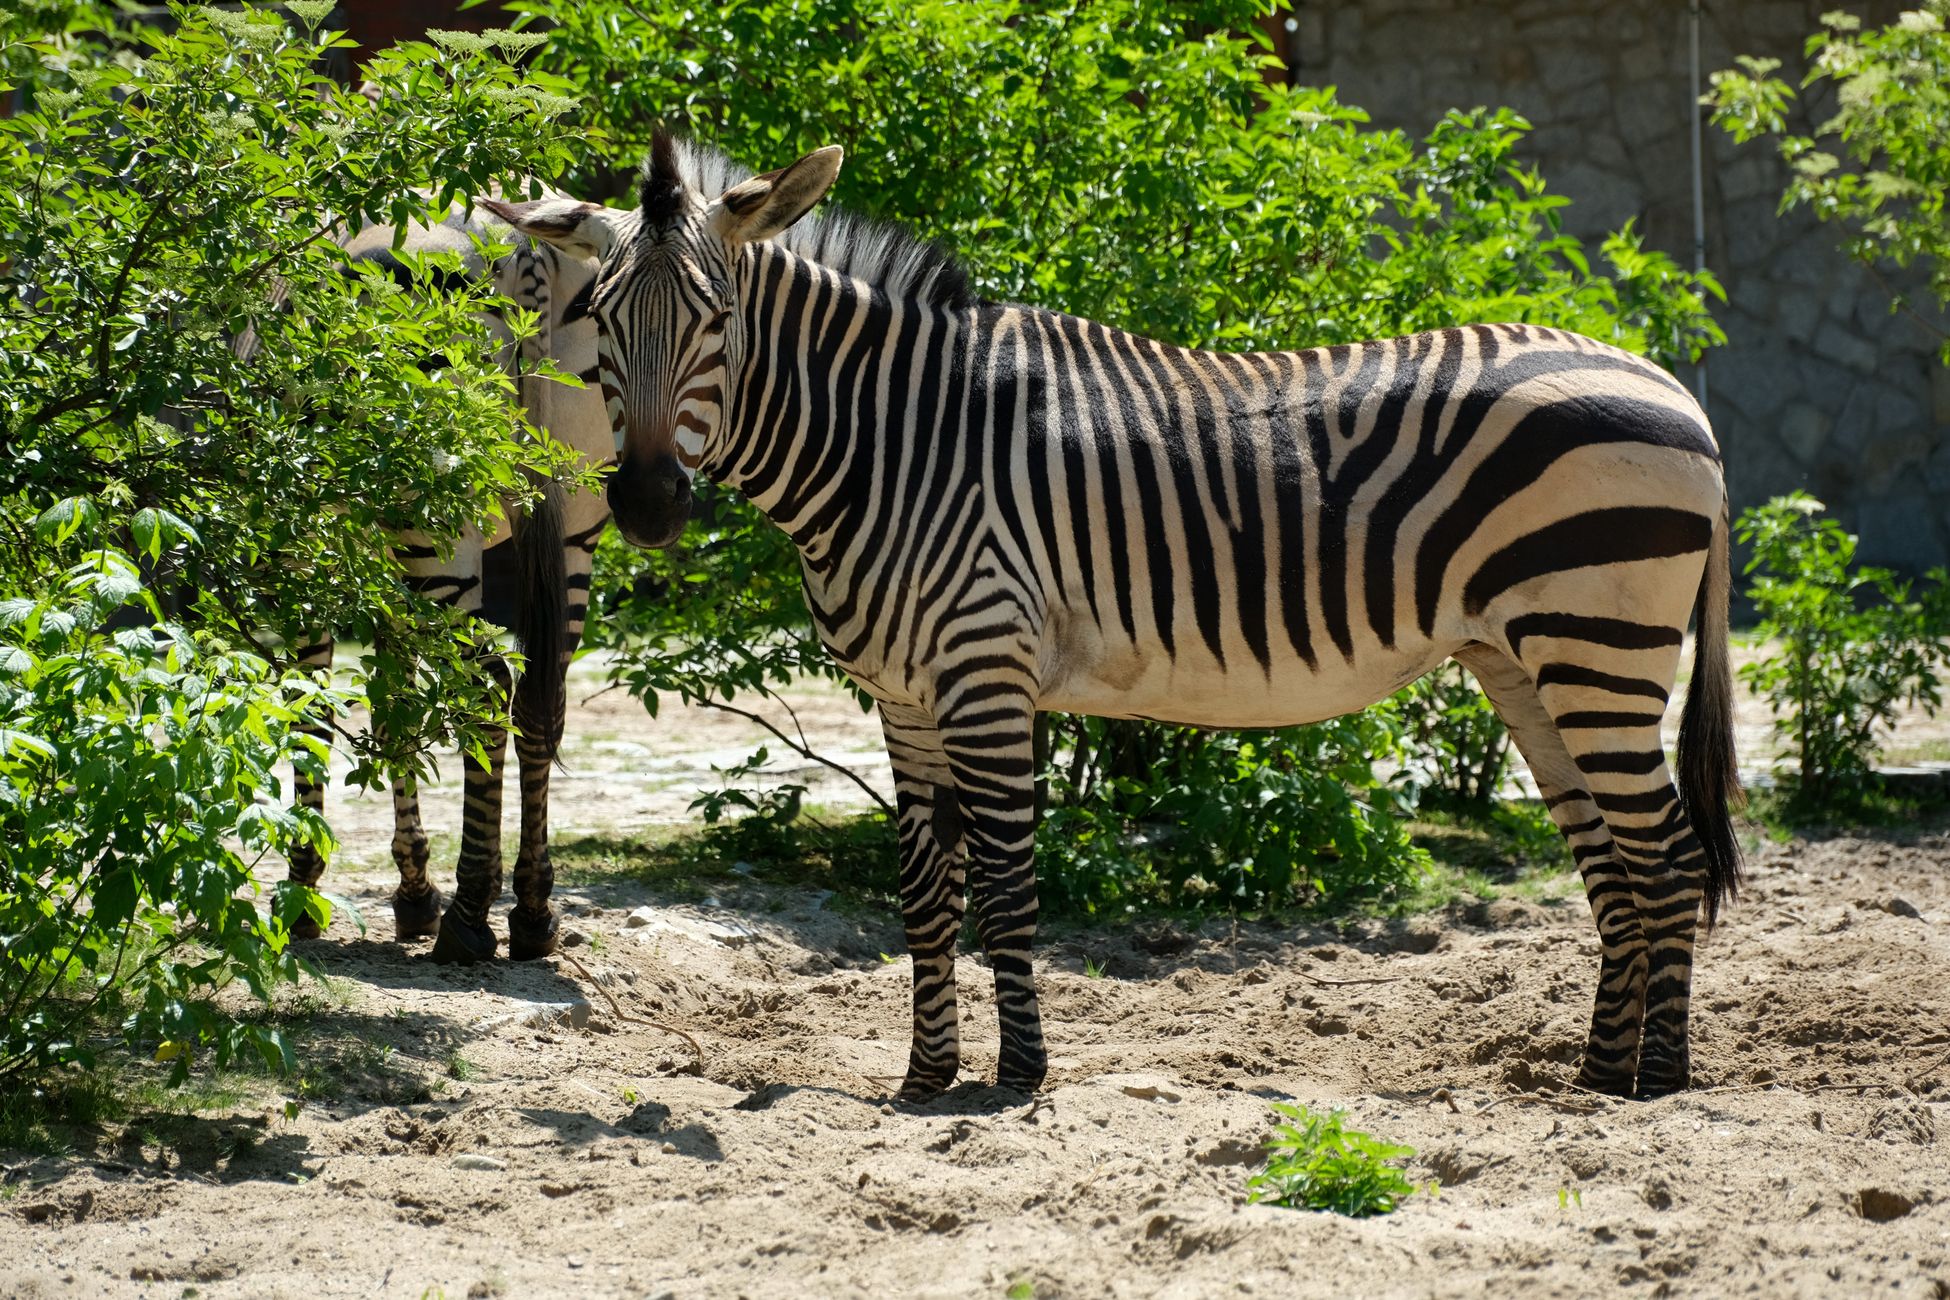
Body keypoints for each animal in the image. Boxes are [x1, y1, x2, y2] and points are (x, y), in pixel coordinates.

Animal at [485, 134, 1742, 1101]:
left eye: (717, 316)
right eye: (600, 317)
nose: (648, 505)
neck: (892, 441)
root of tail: (1676, 389)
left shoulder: (985, 669)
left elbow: (1003, 883)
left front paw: (1016, 1077)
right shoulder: (905, 695)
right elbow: (923, 894)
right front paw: (924, 1078)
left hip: (1597, 648)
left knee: (1667, 856)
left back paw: (1659, 1082)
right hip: (1522, 661)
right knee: (1612, 862)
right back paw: (1595, 1075)